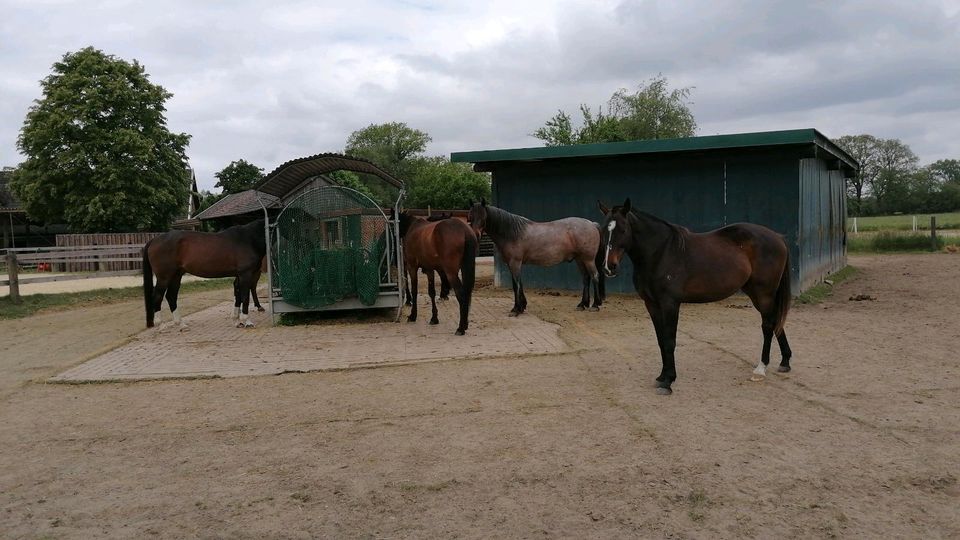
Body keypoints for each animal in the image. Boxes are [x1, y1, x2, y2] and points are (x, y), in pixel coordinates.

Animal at [466, 198, 608, 316]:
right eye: (470, 217)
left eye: (483, 217)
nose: (475, 235)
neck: (512, 233)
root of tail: (591, 224)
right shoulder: (514, 264)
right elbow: (519, 283)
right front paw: (522, 306)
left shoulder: (515, 263)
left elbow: (516, 285)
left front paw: (516, 309)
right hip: (580, 260)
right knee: (586, 278)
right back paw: (582, 304)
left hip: (588, 259)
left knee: (595, 276)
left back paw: (595, 305)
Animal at [600, 200, 796, 394]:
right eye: (603, 230)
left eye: (623, 230)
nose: (609, 267)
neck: (661, 253)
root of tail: (778, 237)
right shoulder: (652, 304)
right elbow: (661, 340)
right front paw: (662, 376)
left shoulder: (670, 304)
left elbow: (669, 341)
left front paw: (668, 382)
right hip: (756, 293)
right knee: (775, 321)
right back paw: (785, 361)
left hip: (764, 294)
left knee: (768, 325)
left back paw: (761, 369)